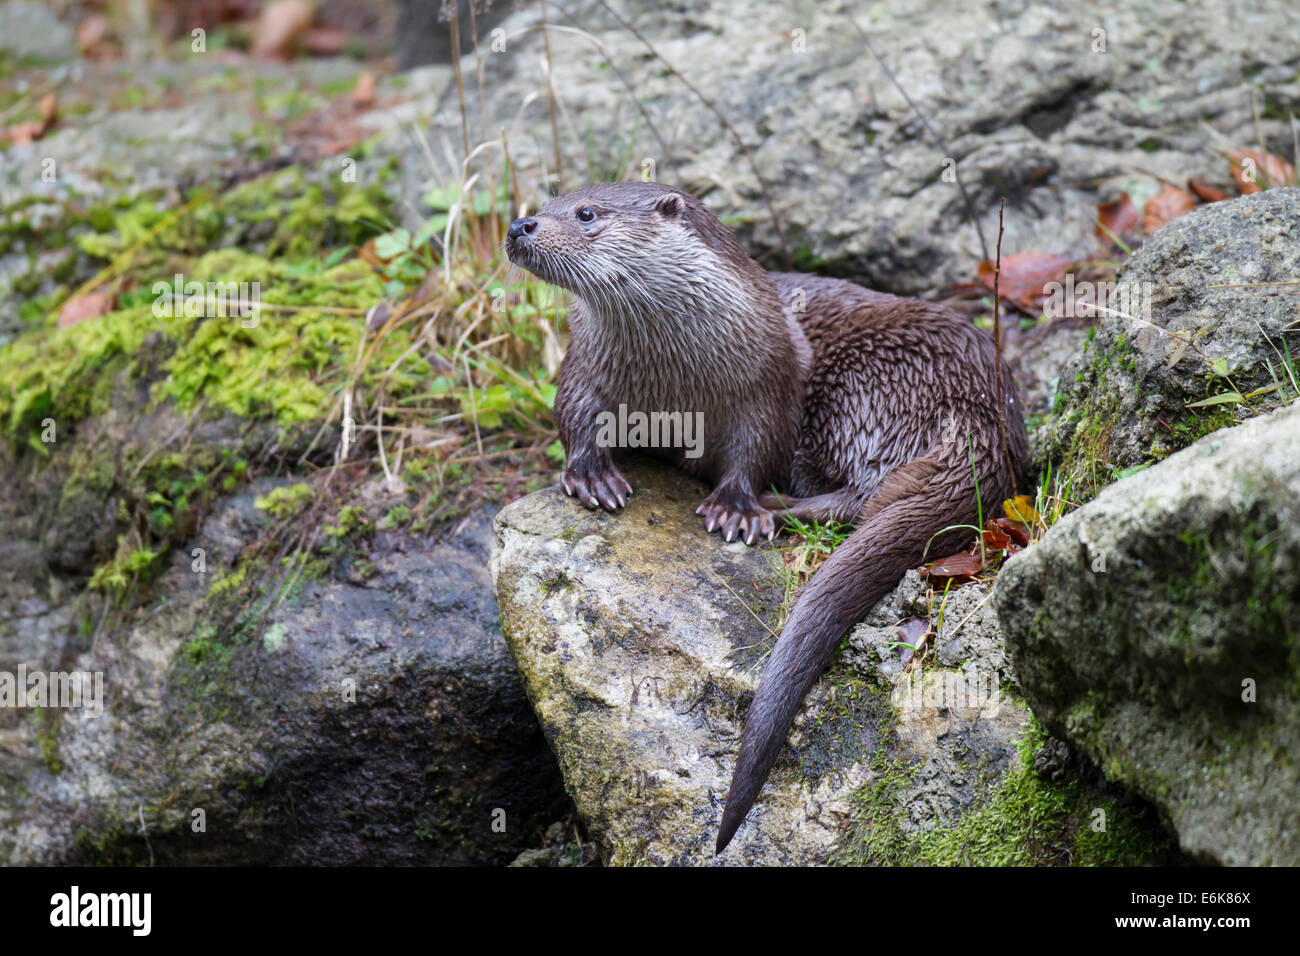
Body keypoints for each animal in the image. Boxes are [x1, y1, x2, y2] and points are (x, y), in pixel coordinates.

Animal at [504, 179, 1024, 853]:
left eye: (586, 213)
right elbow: (572, 412)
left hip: (865, 380)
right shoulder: (589, 366)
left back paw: (783, 507)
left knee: (863, 493)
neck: (675, 385)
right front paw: (591, 474)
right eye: (546, 200)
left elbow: (756, 449)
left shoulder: (769, 385)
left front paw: (738, 508)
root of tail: (986, 415)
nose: (521, 226)